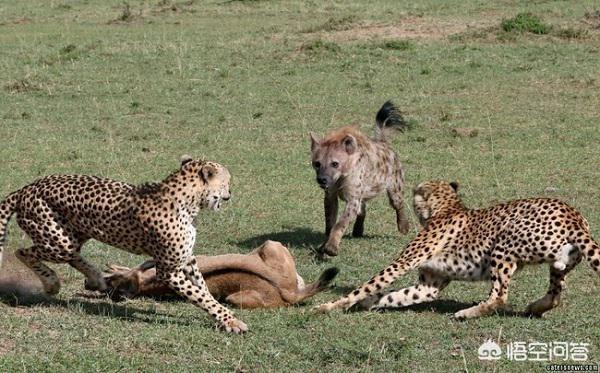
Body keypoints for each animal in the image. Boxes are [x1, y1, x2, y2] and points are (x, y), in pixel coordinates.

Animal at [0, 154, 246, 332]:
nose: (231, 192)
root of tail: (27, 187)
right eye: (227, 181)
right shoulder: (169, 270)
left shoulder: (187, 260)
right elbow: (200, 295)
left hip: (73, 234)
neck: (188, 201)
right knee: (23, 252)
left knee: (73, 255)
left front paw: (222, 317)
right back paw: (52, 283)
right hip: (58, 241)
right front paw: (231, 321)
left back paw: (96, 278)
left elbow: (203, 289)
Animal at [312, 100, 410, 258]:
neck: (341, 177)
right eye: (317, 163)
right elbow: (329, 221)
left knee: (398, 202)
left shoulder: (352, 197)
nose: (322, 179)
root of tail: (384, 143)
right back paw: (358, 230)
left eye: (335, 163)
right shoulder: (330, 195)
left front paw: (331, 248)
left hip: (395, 182)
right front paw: (323, 245)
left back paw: (404, 227)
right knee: (362, 207)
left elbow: (340, 223)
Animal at [316, 180, 596, 316]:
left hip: (504, 243)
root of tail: (572, 213)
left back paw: (465, 313)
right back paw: (535, 307)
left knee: (499, 296)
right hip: (558, 261)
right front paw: (366, 304)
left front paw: (328, 306)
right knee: (555, 293)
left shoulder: (402, 263)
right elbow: (396, 296)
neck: (447, 207)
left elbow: (368, 285)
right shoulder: (428, 285)